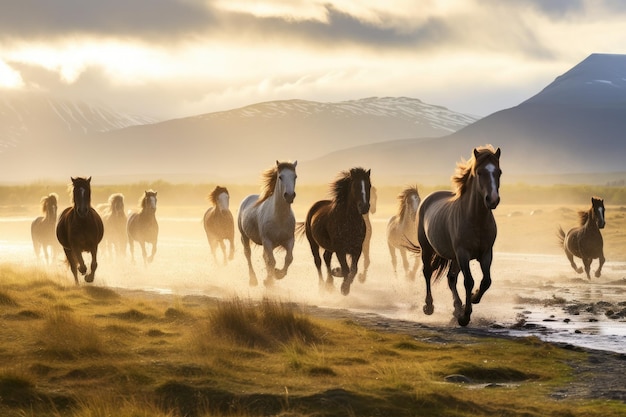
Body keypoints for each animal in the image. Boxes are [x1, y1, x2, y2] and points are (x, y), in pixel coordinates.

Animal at [298, 166, 368, 296]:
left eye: (368, 185)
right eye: (355, 186)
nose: (364, 207)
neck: (350, 222)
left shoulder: (357, 249)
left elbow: (353, 270)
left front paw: (339, 275)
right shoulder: (340, 250)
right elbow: (346, 269)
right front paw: (344, 288)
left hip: (329, 247)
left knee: (326, 257)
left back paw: (329, 284)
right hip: (313, 243)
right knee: (318, 261)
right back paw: (322, 286)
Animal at [416, 145, 500, 324]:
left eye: (499, 172)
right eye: (479, 172)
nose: (493, 200)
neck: (476, 219)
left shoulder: (486, 253)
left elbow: (486, 281)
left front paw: (474, 298)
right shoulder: (463, 253)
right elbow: (468, 281)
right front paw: (465, 316)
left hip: (454, 257)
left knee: (451, 278)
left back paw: (457, 307)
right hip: (427, 248)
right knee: (428, 272)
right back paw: (429, 306)